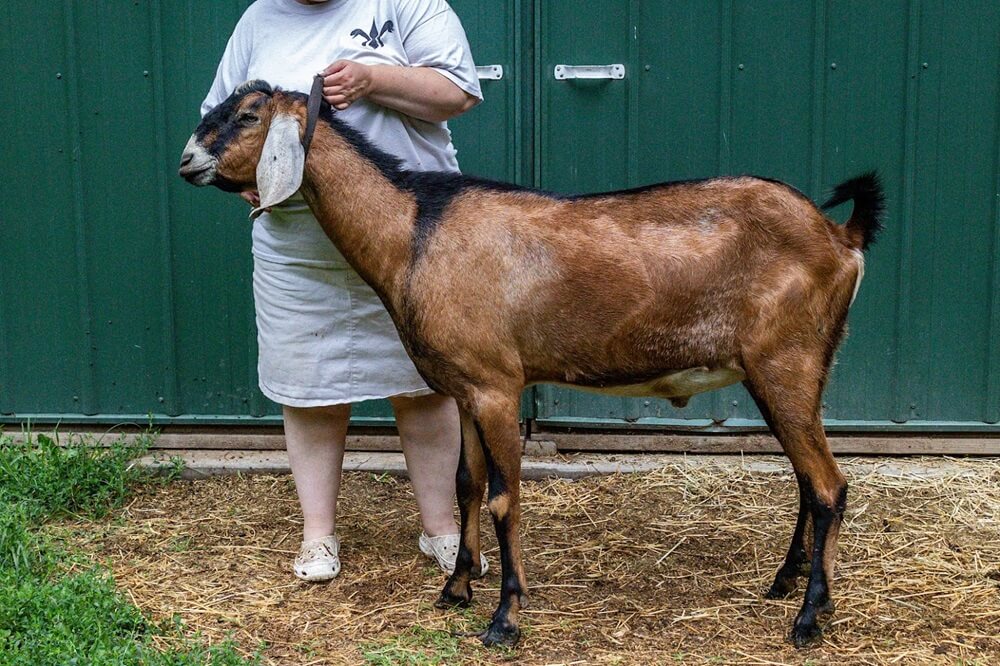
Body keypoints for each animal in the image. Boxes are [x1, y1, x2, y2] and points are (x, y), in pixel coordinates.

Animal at [180, 80, 884, 644]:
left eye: (247, 114)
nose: (187, 161)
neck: (414, 232)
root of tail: (839, 237)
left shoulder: (497, 387)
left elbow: (503, 498)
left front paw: (504, 618)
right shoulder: (464, 387)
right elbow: (464, 484)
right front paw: (456, 590)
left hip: (786, 361)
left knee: (829, 485)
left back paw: (809, 618)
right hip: (797, 370)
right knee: (808, 480)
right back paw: (785, 582)